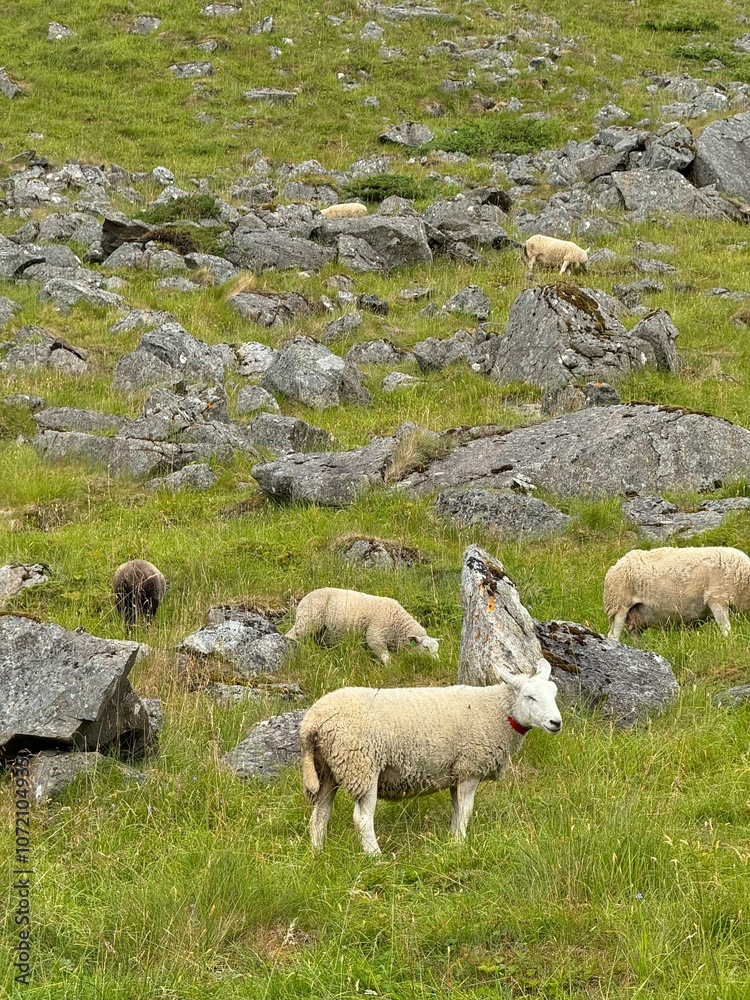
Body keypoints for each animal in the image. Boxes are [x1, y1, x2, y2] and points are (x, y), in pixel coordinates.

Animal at [286, 587, 439, 664]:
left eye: (437, 648)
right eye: (425, 648)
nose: (437, 661)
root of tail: (303, 599)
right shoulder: (375, 636)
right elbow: (386, 657)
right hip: (308, 620)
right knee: (292, 635)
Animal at [300, 659, 562, 854]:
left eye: (555, 694)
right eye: (529, 696)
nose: (556, 722)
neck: (497, 710)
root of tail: (312, 722)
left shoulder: (457, 771)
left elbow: (457, 810)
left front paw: (454, 839)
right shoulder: (470, 767)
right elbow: (466, 811)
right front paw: (461, 843)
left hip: (327, 769)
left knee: (319, 815)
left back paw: (317, 853)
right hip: (361, 766)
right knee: (362, 819)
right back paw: (375, 856)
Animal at [604, 545, 750, 641]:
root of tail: (617, 564)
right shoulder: (717, 600)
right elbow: (726, 629)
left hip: (637, 615)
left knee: (635, 636)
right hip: (619, 605)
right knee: (613, 636)